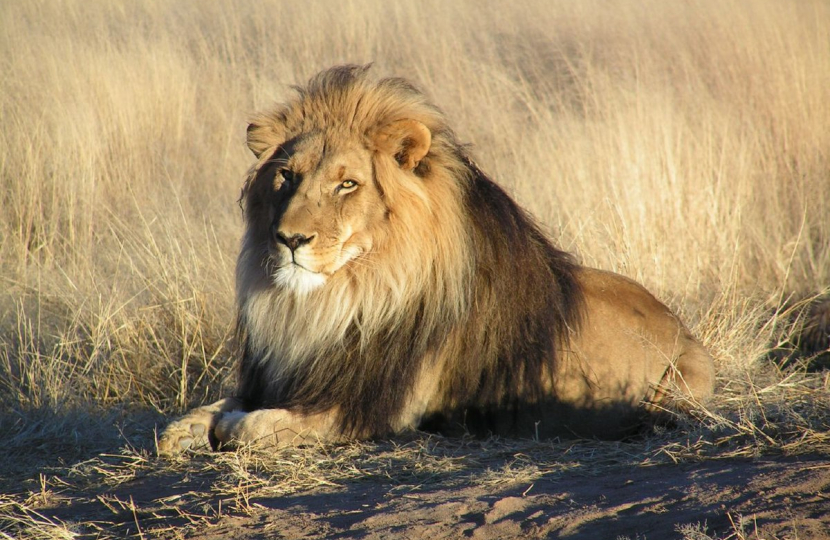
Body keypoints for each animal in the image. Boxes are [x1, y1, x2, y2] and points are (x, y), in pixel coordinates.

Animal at [159, 65, 720, 458]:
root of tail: (681, 325)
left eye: (347, 183)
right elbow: (215, 407)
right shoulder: (283, 376)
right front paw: (184, 431)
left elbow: (254, 425)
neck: (338, 300)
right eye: (286, 176)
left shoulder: (372, 409)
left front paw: (229, 428)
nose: (290, 239)